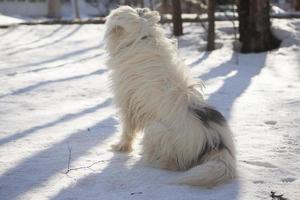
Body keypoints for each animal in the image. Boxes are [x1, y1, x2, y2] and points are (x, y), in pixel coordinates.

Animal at [104, 6, 236, 188]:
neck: (143, 37)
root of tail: (215, 142)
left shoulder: (127, 102)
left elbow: (127, 129)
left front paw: (121, 147)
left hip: (156, 130)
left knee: (172, 164)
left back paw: (152, 160)